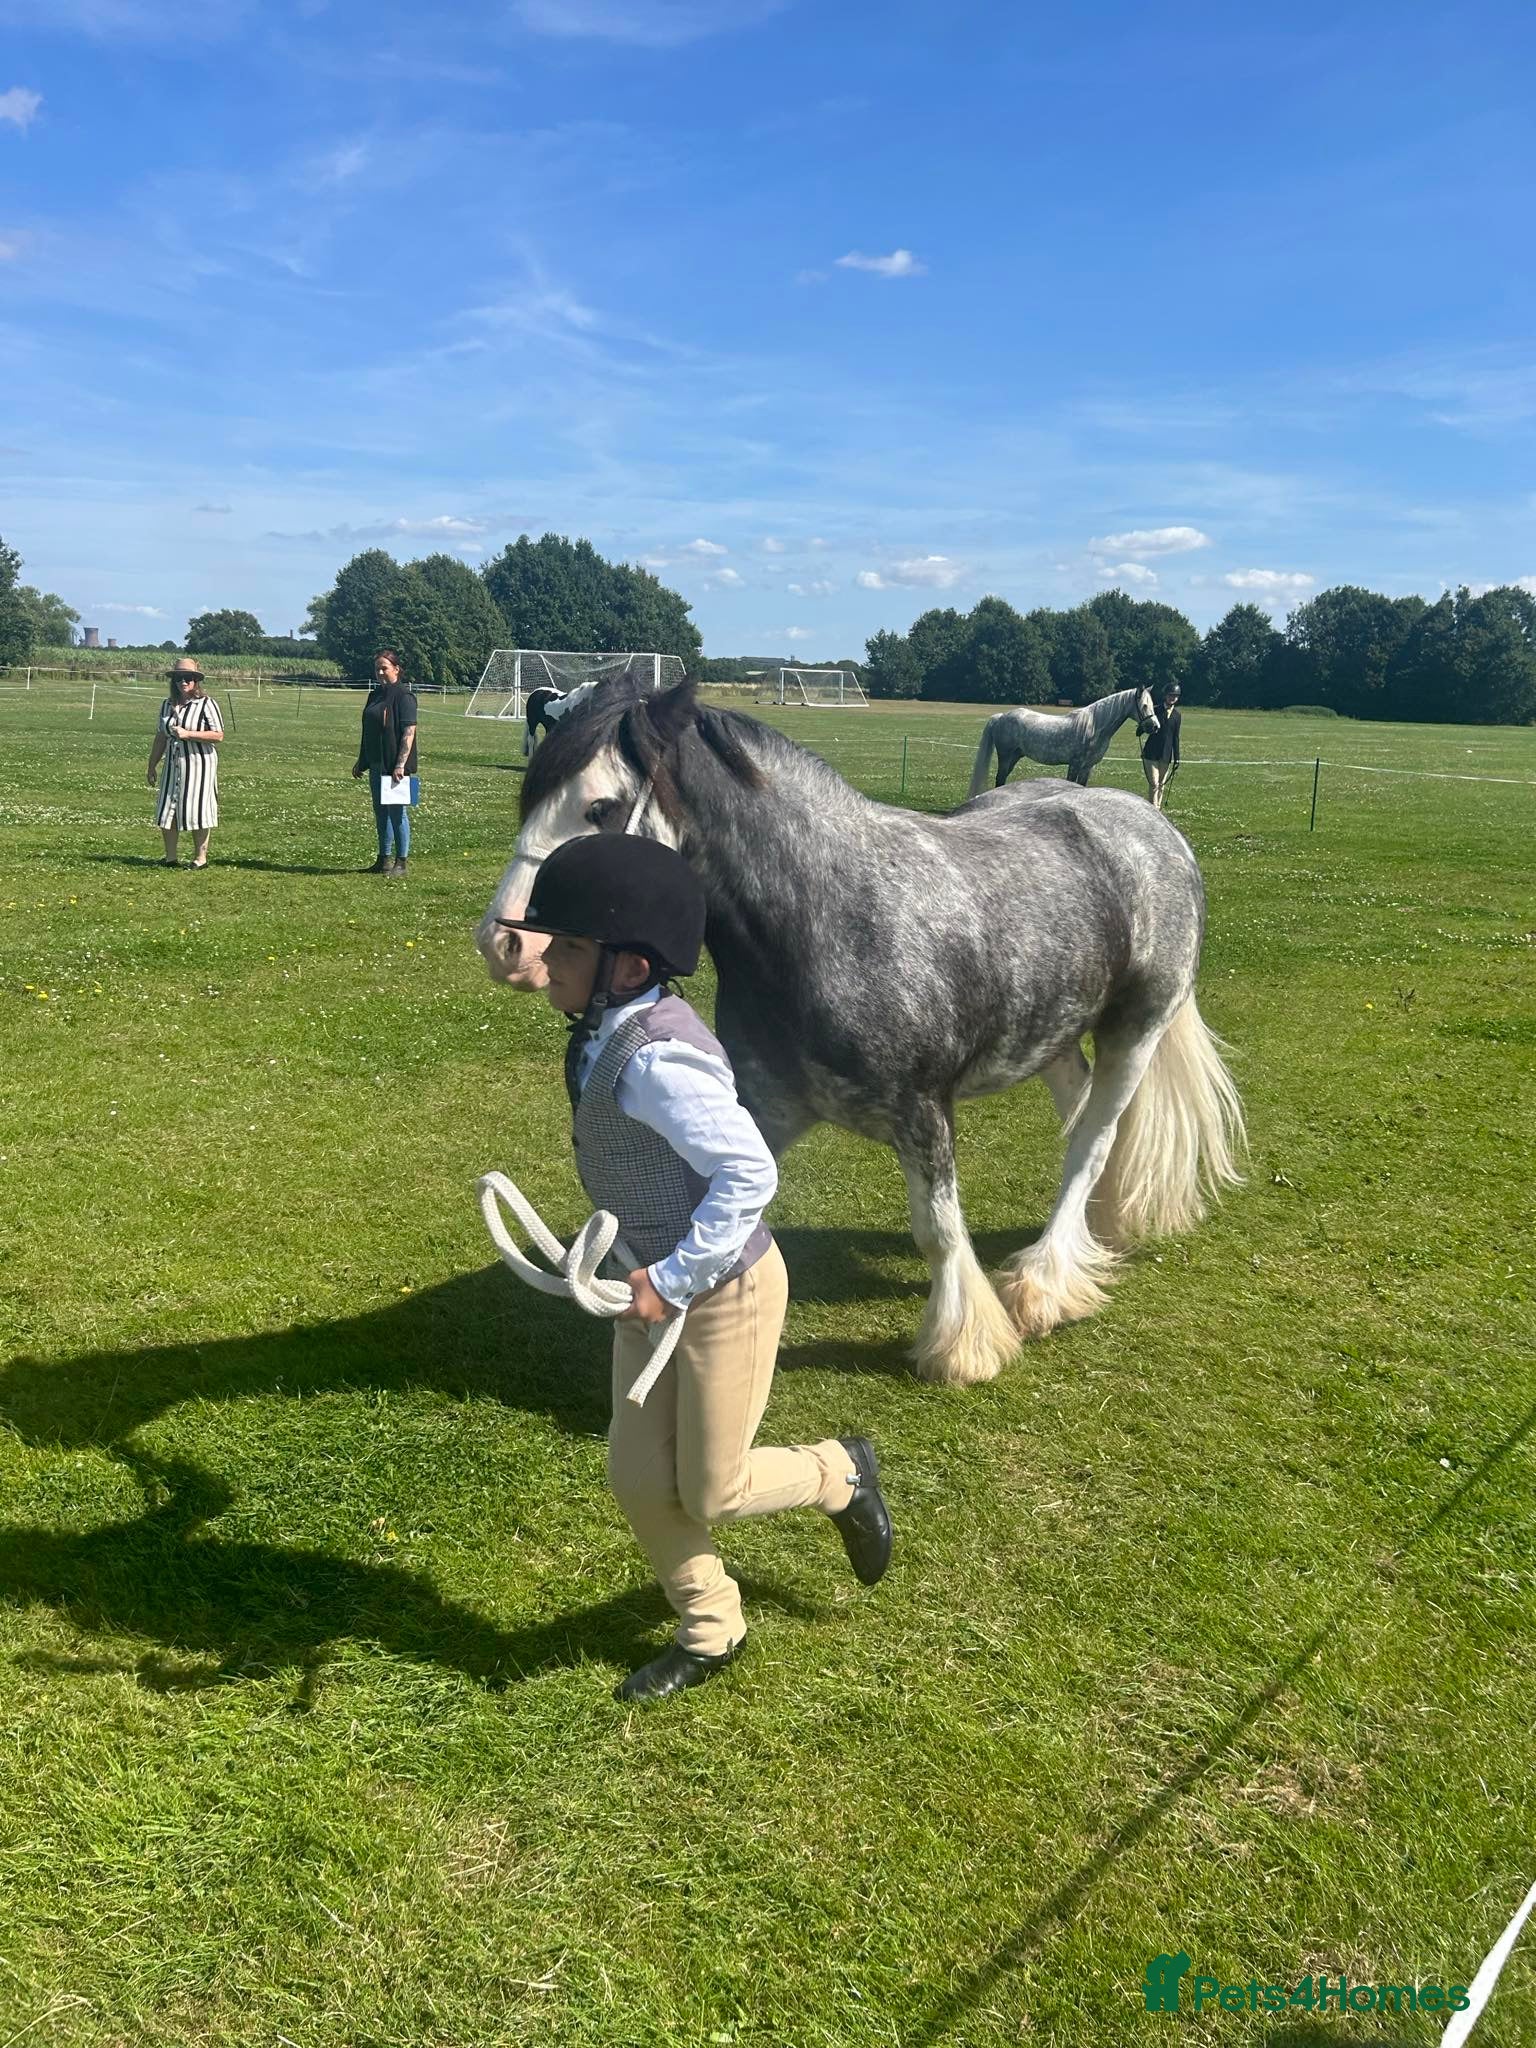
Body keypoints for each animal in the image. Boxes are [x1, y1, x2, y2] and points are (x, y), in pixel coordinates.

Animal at [968, 686, 1159, 797]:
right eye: (1144, 706)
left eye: (1153, 705)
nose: (1155, 727)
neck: (1095, 726)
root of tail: (1000, 717)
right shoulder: (1075, 763)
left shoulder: (1088, 767)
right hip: (1005, 756)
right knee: (1000, 779)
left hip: (1014, 756)